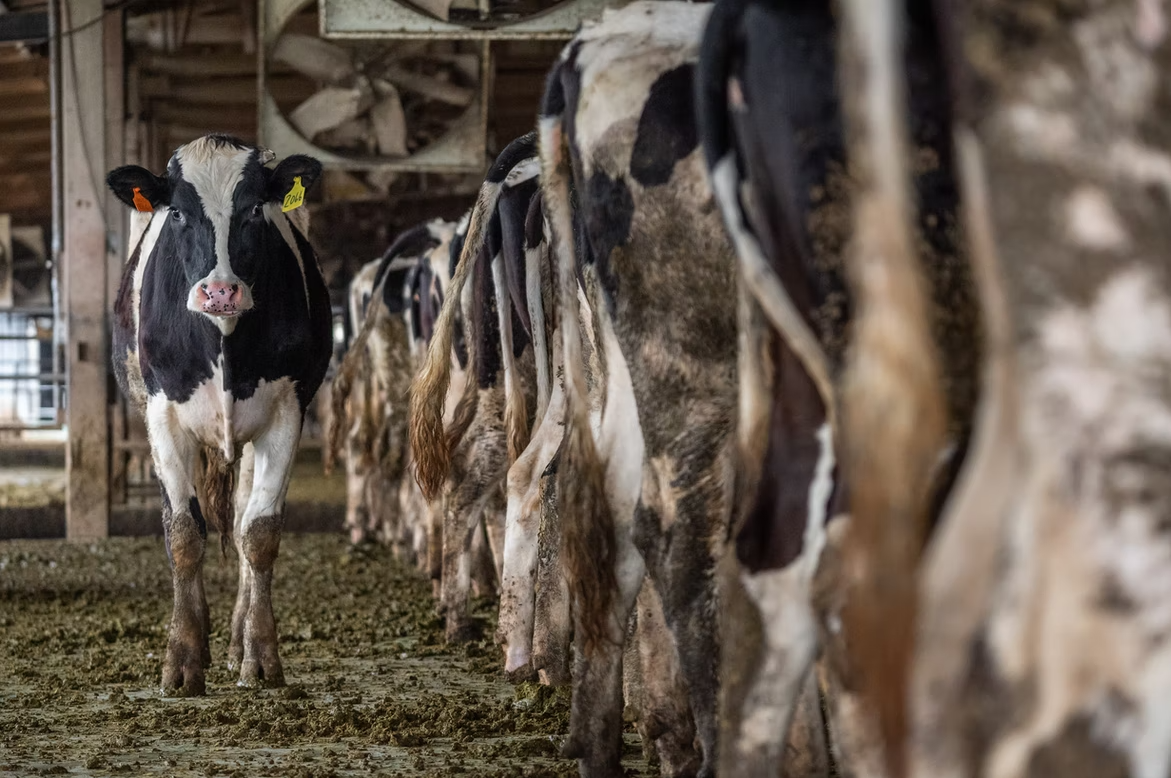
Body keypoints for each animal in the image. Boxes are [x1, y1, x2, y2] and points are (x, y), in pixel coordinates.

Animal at [108, 135, 332, 698]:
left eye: (255, 209)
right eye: (178, 214)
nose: (220, 291)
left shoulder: (287, 412)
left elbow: (260, 533)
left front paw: (261, 656)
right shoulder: (163, 416)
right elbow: (184, 534)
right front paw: (182, 659)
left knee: (239, 519)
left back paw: (233, 642)